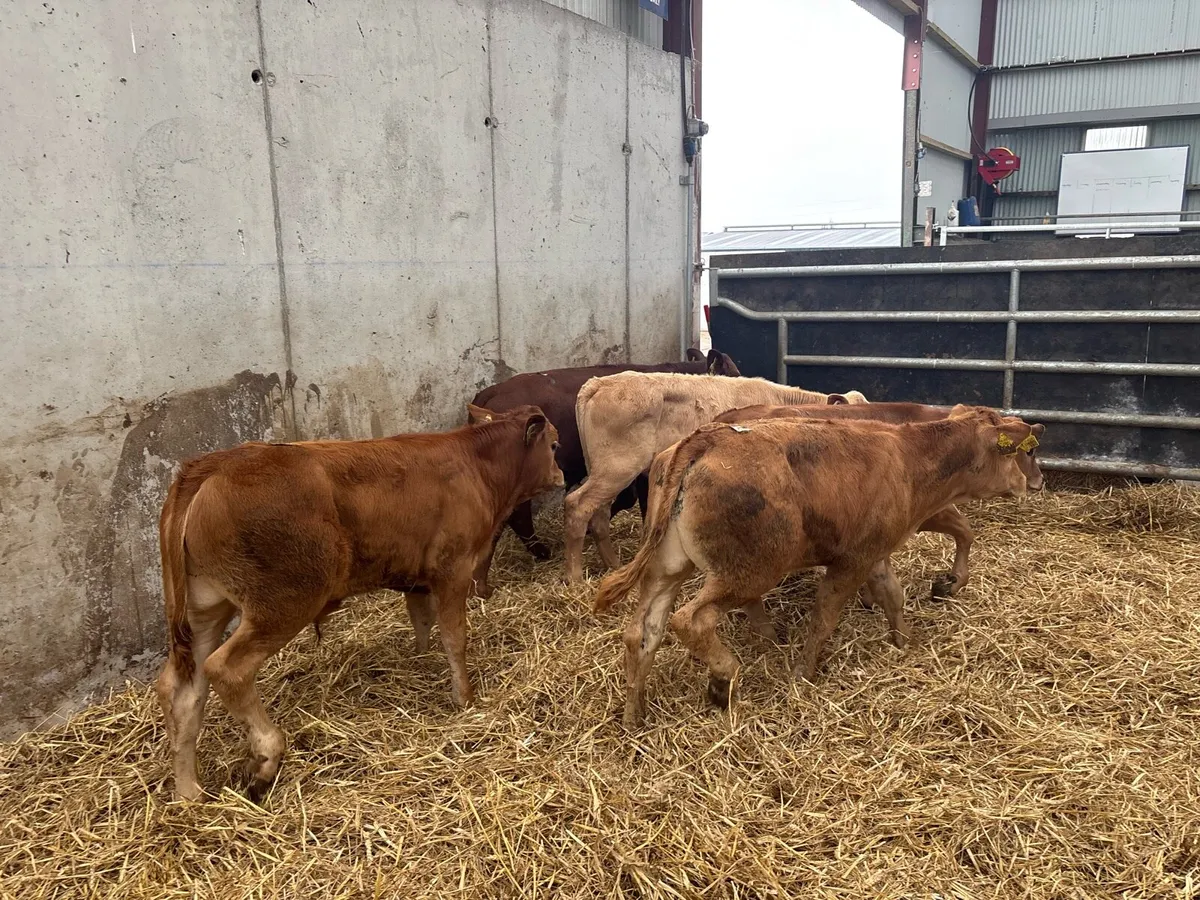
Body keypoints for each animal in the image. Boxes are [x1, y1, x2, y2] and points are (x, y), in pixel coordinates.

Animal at [155, 404, 563, 802]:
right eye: (555, 444)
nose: (560, 474)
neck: (475, 463)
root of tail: (215, 464)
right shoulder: (454, 570)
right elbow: (455, 638)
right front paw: (464, 698)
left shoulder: (416, 579)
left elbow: (422, 622)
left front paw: (419, 662)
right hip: (283, 604)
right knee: (227, 668)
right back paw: (266, 759)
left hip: (204, 612)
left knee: (181, 692)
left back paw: (189, 792)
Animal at [563, 372, 868, 582]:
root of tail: (600, 383)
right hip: (617, 468)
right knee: (578, 506)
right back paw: (575, 577)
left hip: (606, 472)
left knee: (598, 514)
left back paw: (613, 566)